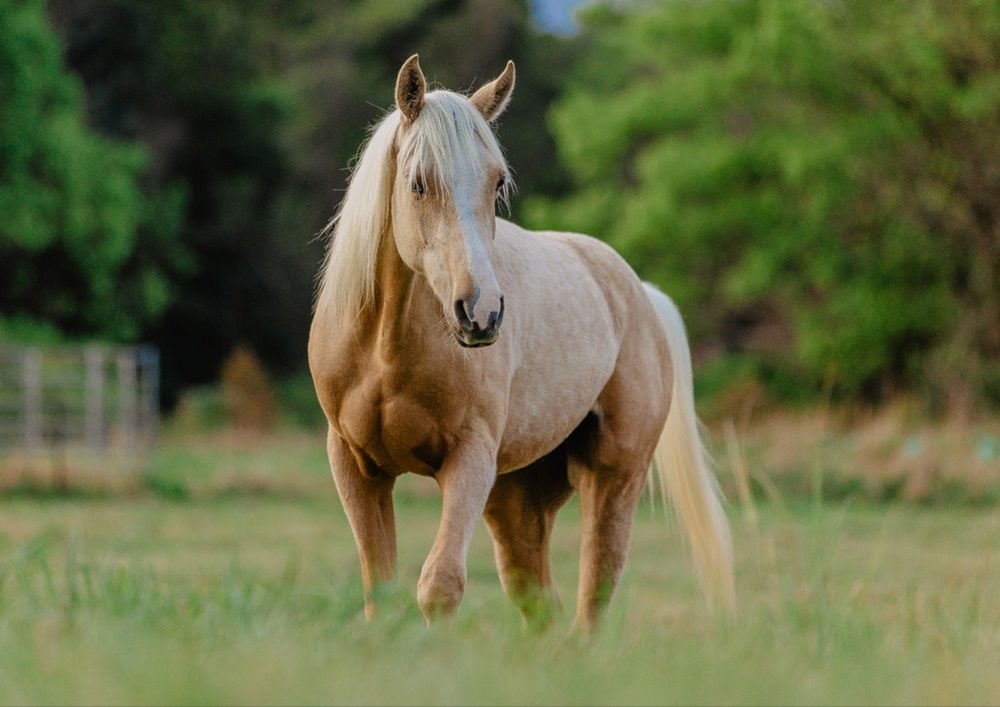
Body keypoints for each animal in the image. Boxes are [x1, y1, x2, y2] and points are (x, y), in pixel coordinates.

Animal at [308, 54, 735, 629]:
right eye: (418, 183)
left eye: (496, 185)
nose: (481, 312)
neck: (383, 351)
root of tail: (639, 293)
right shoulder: (356, 467)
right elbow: (382, 594)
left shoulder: (468, 460)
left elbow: (439, 586)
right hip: (517, 499)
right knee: (539, 603)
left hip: (612, 479)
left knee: (593, 594)